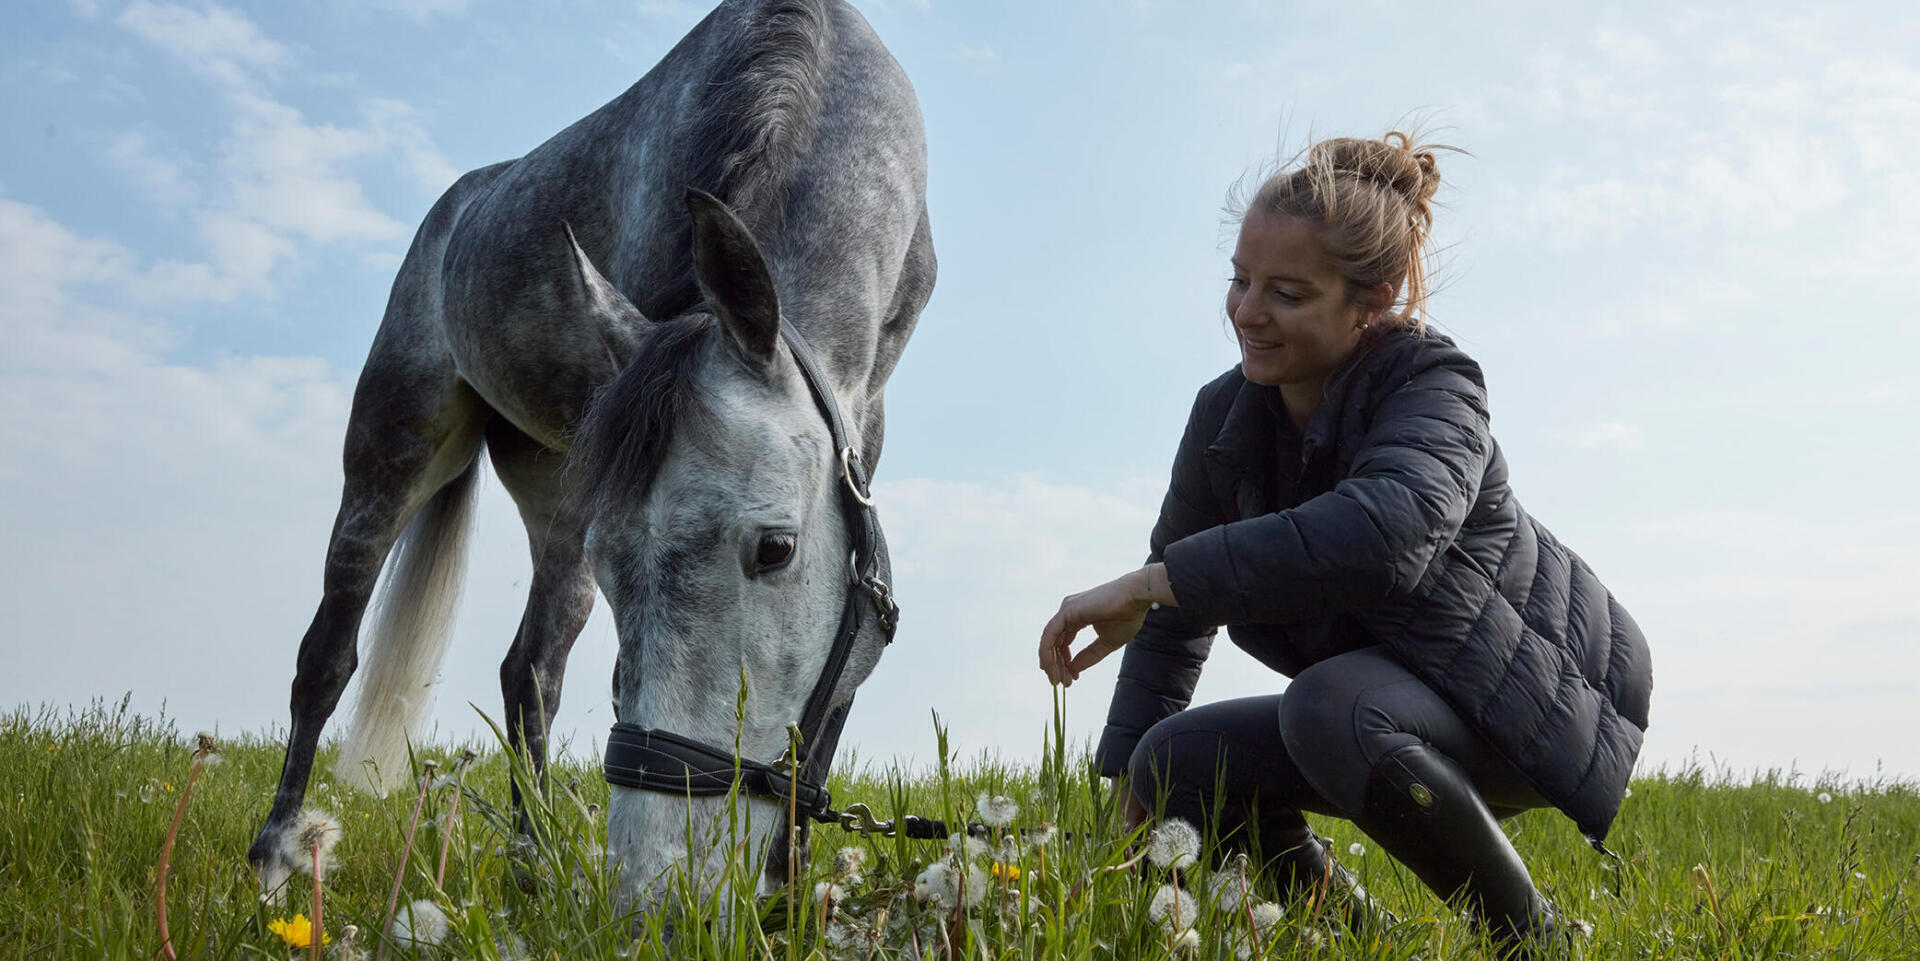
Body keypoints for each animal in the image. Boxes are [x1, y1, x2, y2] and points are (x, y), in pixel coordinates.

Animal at [243, 0, 933, 901]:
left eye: (776, 548)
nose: (660, 891)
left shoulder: (864, 425)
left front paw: (790, 883)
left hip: (554, 486)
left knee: (529, 673)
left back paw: (532, 869)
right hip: (392, 456)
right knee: (327, 657)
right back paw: (277, 853)